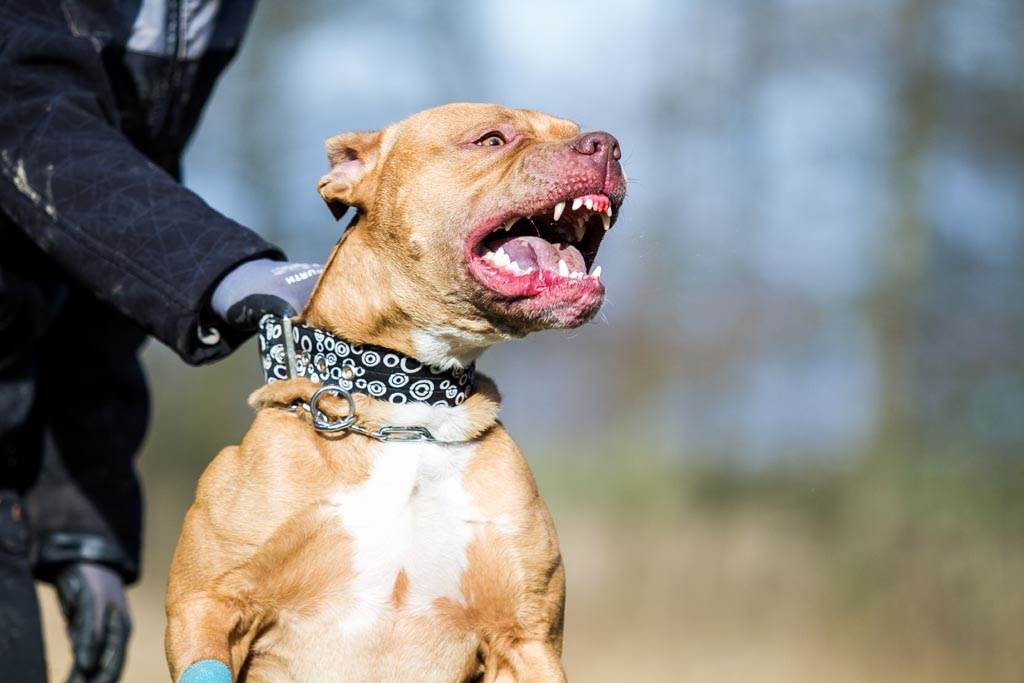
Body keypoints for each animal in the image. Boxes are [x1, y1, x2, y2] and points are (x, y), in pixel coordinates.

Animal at [163, 102, 622, 683]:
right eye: (492, 139)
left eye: (576, 131)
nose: (607, 146)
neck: (411, 409)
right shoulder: (207, 606)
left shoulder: (527, 638)